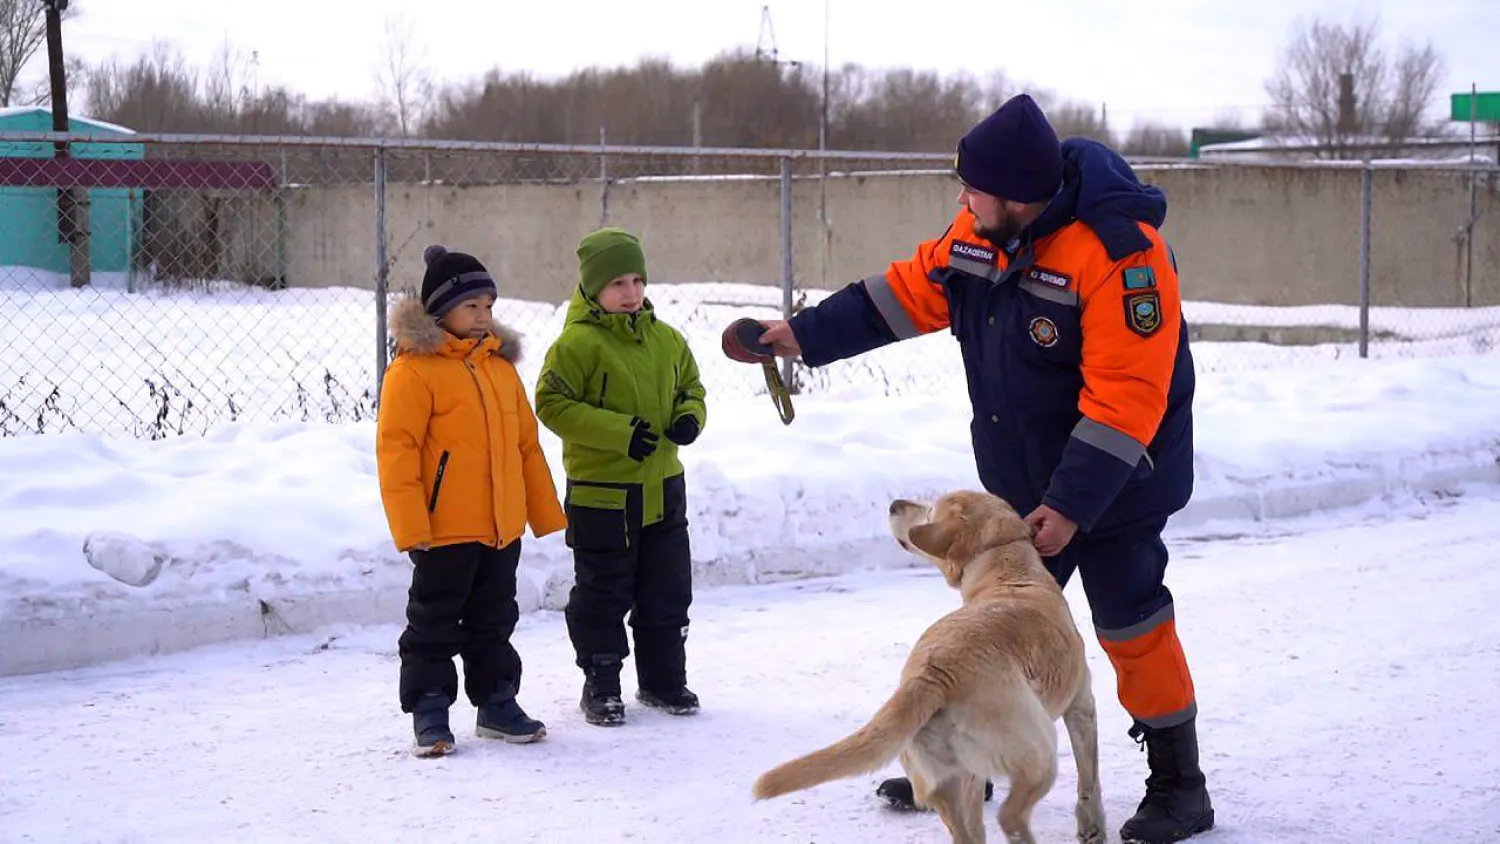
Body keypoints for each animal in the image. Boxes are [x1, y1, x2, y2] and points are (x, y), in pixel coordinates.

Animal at [750, 491, 1104, 839]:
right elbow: (1090, 780)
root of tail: (932, 675)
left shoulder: (973, 774)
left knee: (970, 830)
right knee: (1010, 816)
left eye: (930, 510)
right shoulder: (1082, 707)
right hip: (1040, 754)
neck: (1008, 571)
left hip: (949, 782)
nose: (894, 504)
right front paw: (1091, 826)